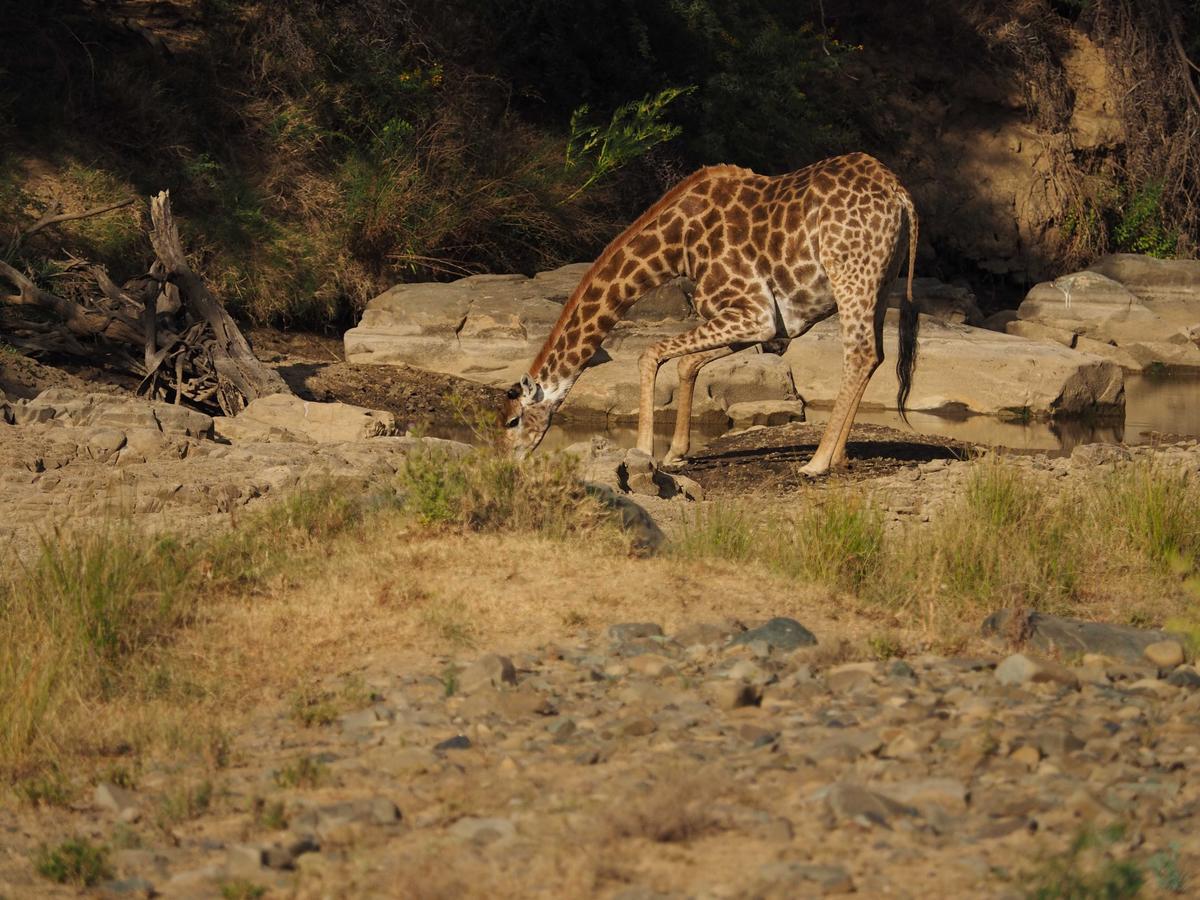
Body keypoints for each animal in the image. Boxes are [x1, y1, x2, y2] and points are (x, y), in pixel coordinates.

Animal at [496, 151, 916, 475]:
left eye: (513, 420)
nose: (504, 464)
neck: (675, 247)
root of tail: (900, 196)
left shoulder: (754, 311)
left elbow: (650, 353)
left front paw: (644, 451)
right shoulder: (766, 325)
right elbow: (686, 364)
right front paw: (675, 453)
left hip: (850, 275)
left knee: (860, 353)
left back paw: (816, 462)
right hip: (882, 282)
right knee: (875, 355)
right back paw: (840, 456)